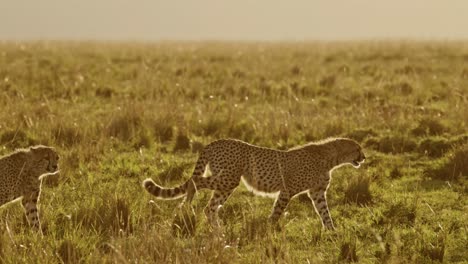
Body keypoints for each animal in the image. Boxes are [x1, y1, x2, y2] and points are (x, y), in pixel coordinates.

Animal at [143, 138, 366, 229]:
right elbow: (277, 212)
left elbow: (325, 213)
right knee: (195, 182)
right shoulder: (287, 190)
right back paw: (188, 204)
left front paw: (332, 232)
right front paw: (269, 229)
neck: (331, 158)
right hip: (228, 178)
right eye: (358, 149)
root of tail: (214, 141)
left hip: (226, 182)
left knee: (210, 207)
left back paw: (218, 232)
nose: (364, 157)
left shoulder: (317, 193)